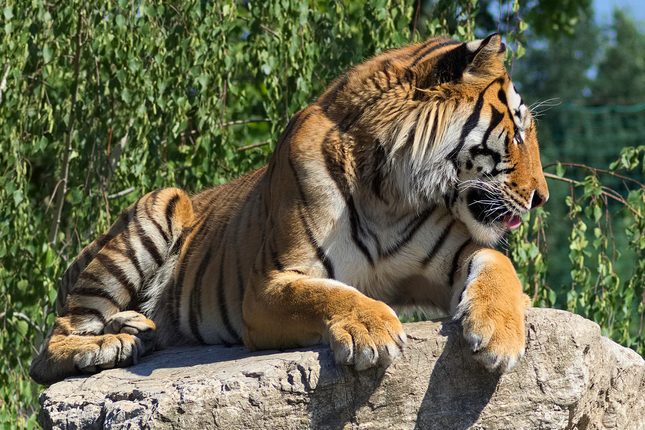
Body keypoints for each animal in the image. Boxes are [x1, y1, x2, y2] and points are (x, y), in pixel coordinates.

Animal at [29, 33, 548, 385]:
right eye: (518, 132)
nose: (541, 197)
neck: (392, 194)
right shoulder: (269, 284)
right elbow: (328, 295)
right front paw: (372, 328)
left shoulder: (449, 256)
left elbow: (496, 260)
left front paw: (501, 333)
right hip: (161, 205)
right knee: (49, 347)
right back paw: (109, 344)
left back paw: (138, 326)